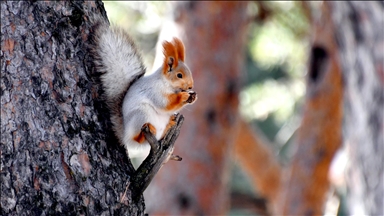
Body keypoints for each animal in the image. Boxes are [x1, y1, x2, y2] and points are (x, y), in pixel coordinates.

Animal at [88, 14, 196, 157]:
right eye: (179, 75)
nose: (190, 87)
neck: (167, 84)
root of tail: (125, 135)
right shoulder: (154, 90)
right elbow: (164, 104)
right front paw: (183, 96)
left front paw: (193, 97)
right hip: (141, 115)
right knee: (137, 139)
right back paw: (144, 133)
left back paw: (169, 125)